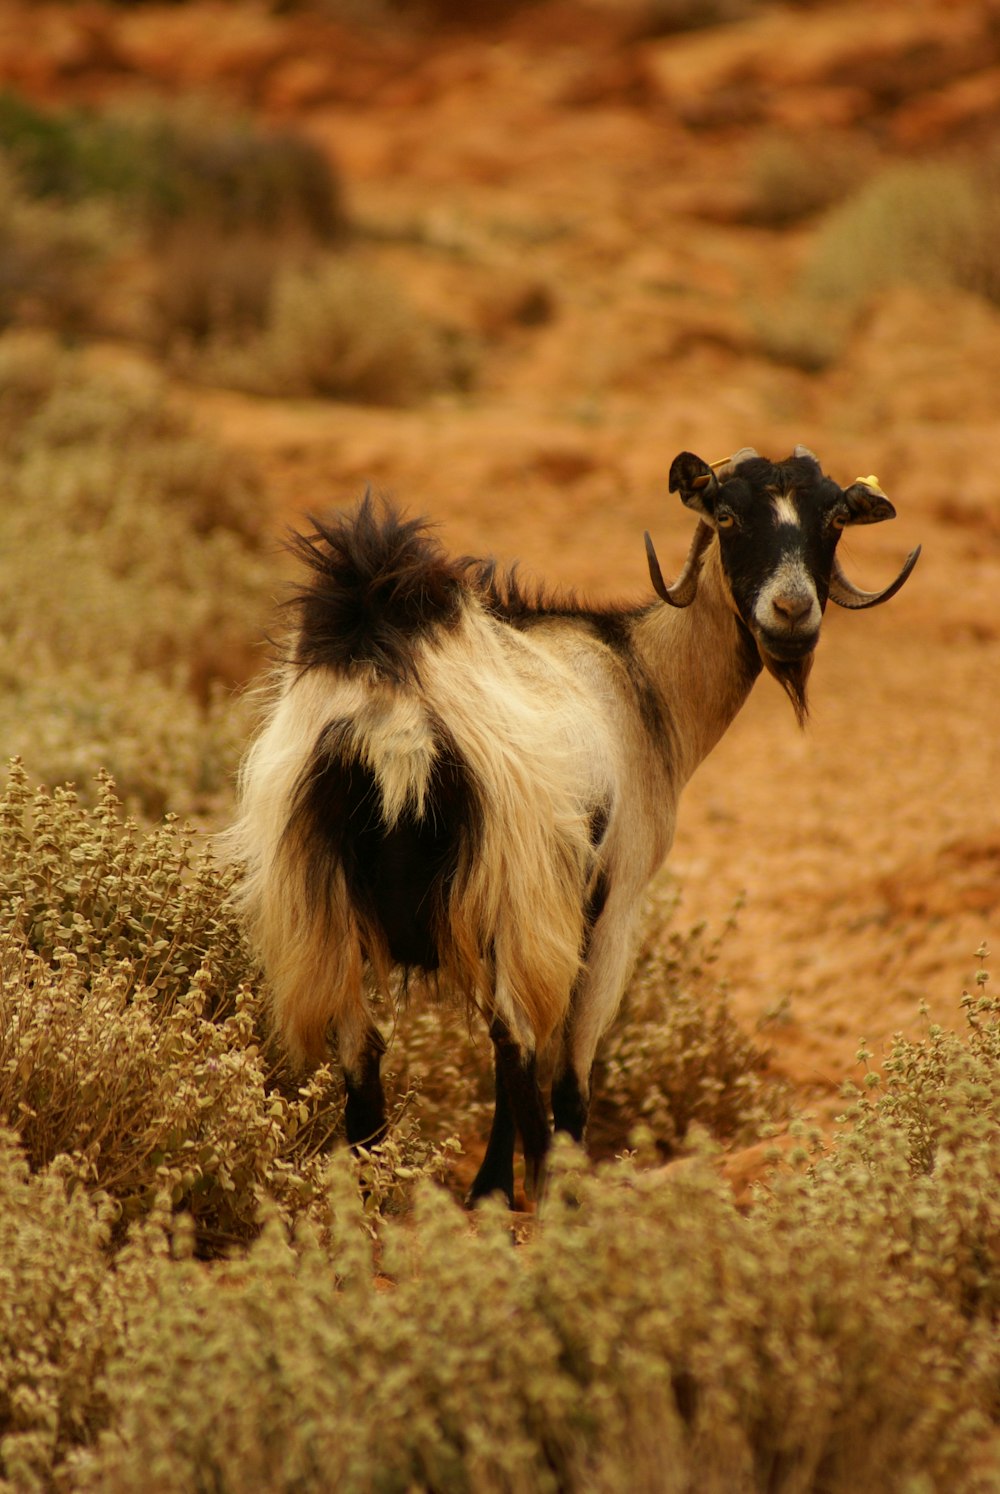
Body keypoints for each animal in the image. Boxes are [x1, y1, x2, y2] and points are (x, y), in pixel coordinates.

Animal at [230, 442, 914, 1201]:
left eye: (834, 521)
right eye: (728, 514)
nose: (791, 612)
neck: (642, 679)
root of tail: (395, 706)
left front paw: (489, 1193)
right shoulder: (611, 911)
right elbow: (569, 1074)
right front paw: (524, 1189)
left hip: (319, 906)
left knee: (365, 1047)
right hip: (515, 893)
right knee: (518, 1041)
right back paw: (549, 1196)